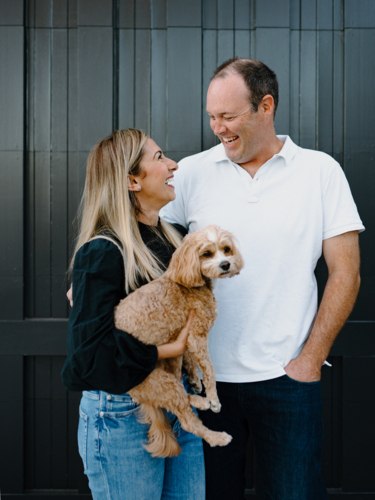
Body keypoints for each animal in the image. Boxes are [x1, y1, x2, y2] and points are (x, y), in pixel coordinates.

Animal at [114, 226, 244, 458]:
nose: (225, 264)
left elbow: (191, 360)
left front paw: (195, 380)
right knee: (187, 421)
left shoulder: (186, 338)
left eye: (226, 249)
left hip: (168, 373)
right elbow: (209, 369)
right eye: (207, 254)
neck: (187, 282)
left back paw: (199, 400)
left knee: (181, 394)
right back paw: (216, 436)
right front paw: (214, 398)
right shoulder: (196, 335)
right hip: (162, 383)